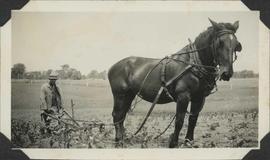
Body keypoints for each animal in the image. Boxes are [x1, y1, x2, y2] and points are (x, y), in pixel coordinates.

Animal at [107, 18, 243, 148]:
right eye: (220, 43)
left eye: (236, 44)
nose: (227, 73)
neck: (193, 63)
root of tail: (112, 67)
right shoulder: (183, 96)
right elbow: (179, 120)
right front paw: (173, 143)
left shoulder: (199, 98)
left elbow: (193, 119)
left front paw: (189, 142)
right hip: (120, 95)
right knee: (117, 115)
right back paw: (119, 141)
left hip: (129, 95)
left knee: (122, 116)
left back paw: (123, 138)